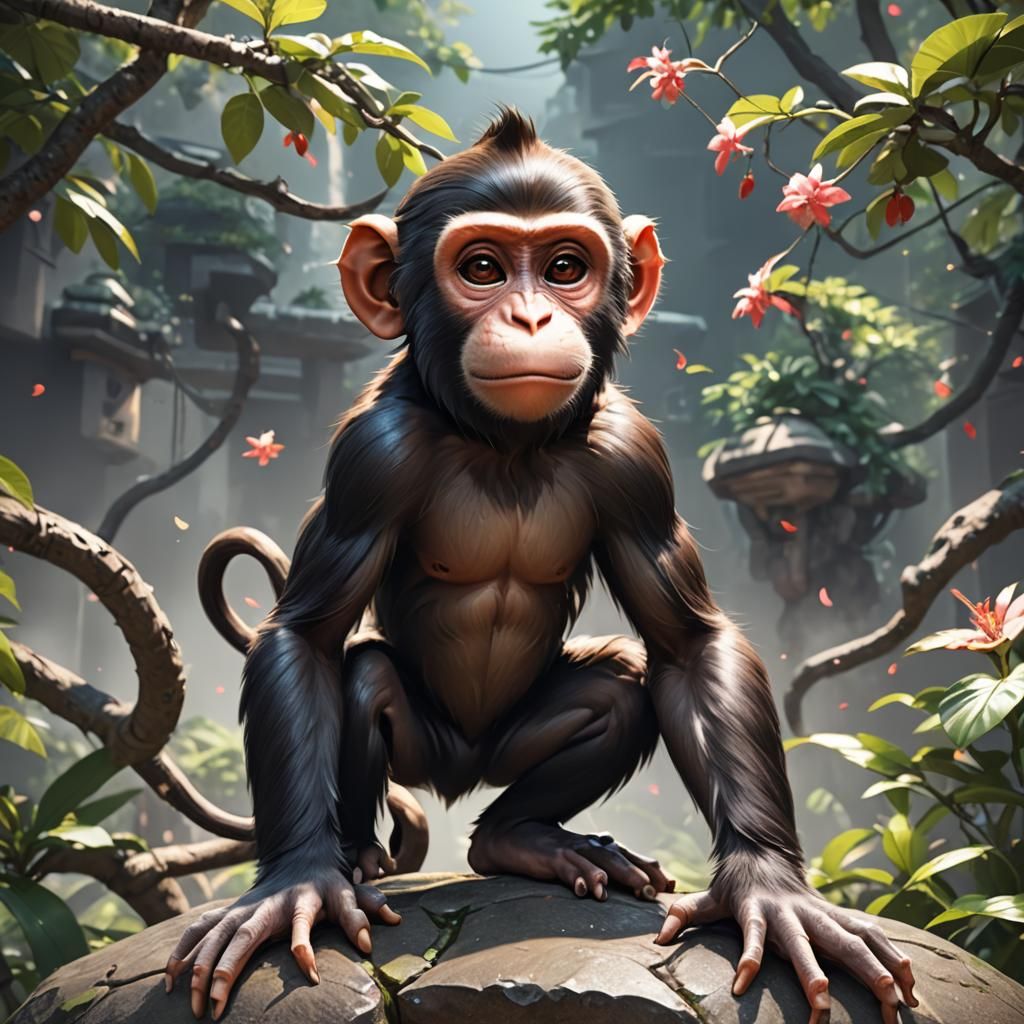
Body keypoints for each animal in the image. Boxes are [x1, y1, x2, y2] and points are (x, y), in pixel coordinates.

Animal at [166, 109, 917, 1024]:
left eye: (565, 267)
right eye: (482, 268)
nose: (528, 317)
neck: (502, 444)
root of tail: (466, 772)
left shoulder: (634, 457)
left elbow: (688, 645)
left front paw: (770, 887)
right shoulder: (373, 456)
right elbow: (305, 637)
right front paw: (294, 883)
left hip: (512, 749)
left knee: (618, 689)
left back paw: (525, 840)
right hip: (428, 747)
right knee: (365, 678)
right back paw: (358, 855)